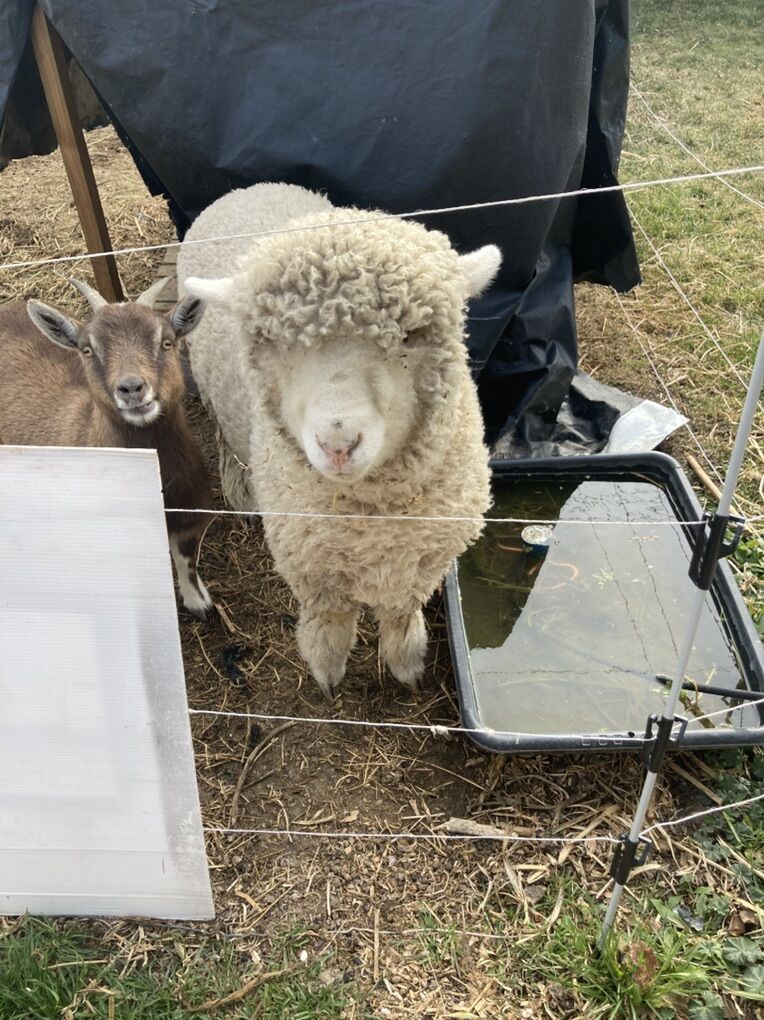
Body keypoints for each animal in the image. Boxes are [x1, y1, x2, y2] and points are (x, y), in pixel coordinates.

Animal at [0, 278, 214, 620]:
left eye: (166, 342)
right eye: (87, 349)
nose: (131, 388)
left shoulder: (189, 517)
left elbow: (186, 561)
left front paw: (199, 602)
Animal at [179, 183, 501, 698]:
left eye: (411, 335)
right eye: (273, 341)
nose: (339, 444)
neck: (369, 514)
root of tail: (250, 187)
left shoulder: (424, 558)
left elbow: (400, 612)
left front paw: (406, 665)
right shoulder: (311, 564)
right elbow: (330, 619)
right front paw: (328, 673)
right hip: (217, 399)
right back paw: (241, 493)